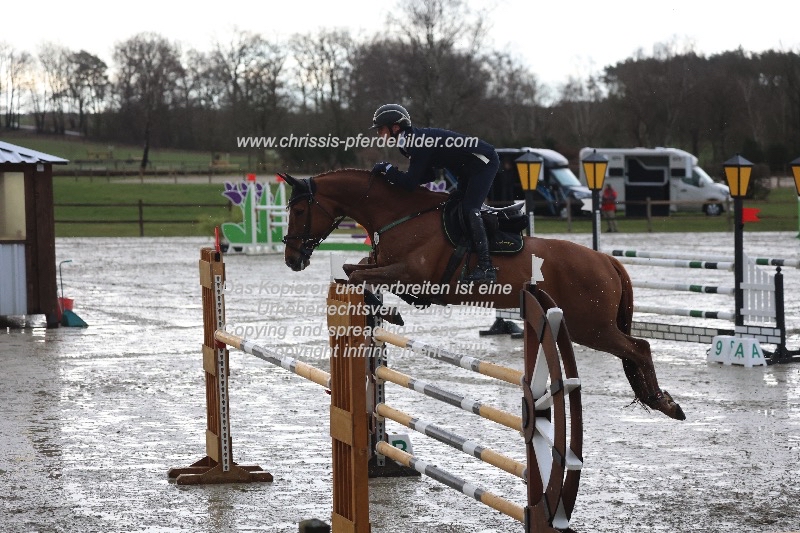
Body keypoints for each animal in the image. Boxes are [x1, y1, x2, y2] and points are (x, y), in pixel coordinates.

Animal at [278, 170, 684, 420]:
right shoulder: (387, 265)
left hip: (592, 327)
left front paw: (390, 312)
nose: (292, 259)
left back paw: (663, 402)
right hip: (591, 325)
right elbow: (355, 270)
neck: (402, 216)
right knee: (635, 349)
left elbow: (359, 274)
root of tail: (605, 260)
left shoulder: (412, 274)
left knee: (638, 348)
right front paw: (385, 310)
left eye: (298, 209)